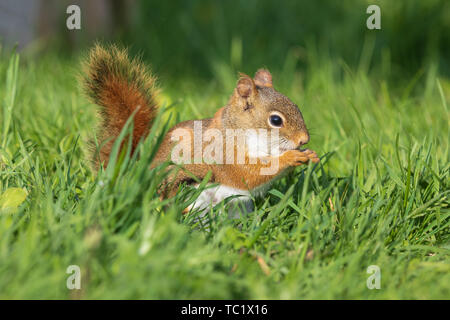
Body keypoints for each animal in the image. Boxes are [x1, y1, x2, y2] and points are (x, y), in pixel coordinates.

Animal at [81, 44, 320, 215]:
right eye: (275, 120)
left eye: (297, 106)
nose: (304, 139)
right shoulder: (224, 155)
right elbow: (250, 173)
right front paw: (291, 158)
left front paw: (308, 155)